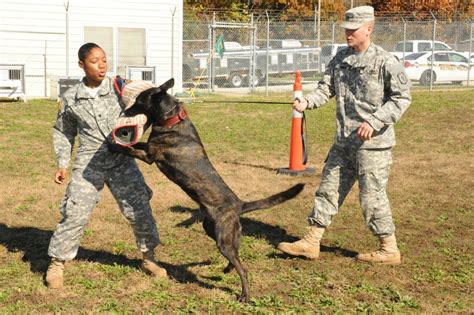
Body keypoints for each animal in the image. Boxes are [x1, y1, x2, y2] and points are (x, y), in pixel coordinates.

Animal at [109, 78, 306, 302]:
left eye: (139, 100)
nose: (125, 111)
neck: (172, 120)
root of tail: (239, 205)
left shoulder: (151, 156)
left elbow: (130, 149)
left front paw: (114, 145)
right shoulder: (149, 148)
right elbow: (140, 142)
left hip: (222, 238)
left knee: (243, 269)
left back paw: (244, 295)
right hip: (216, 231)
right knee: (236, 255)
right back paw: (228, 269)